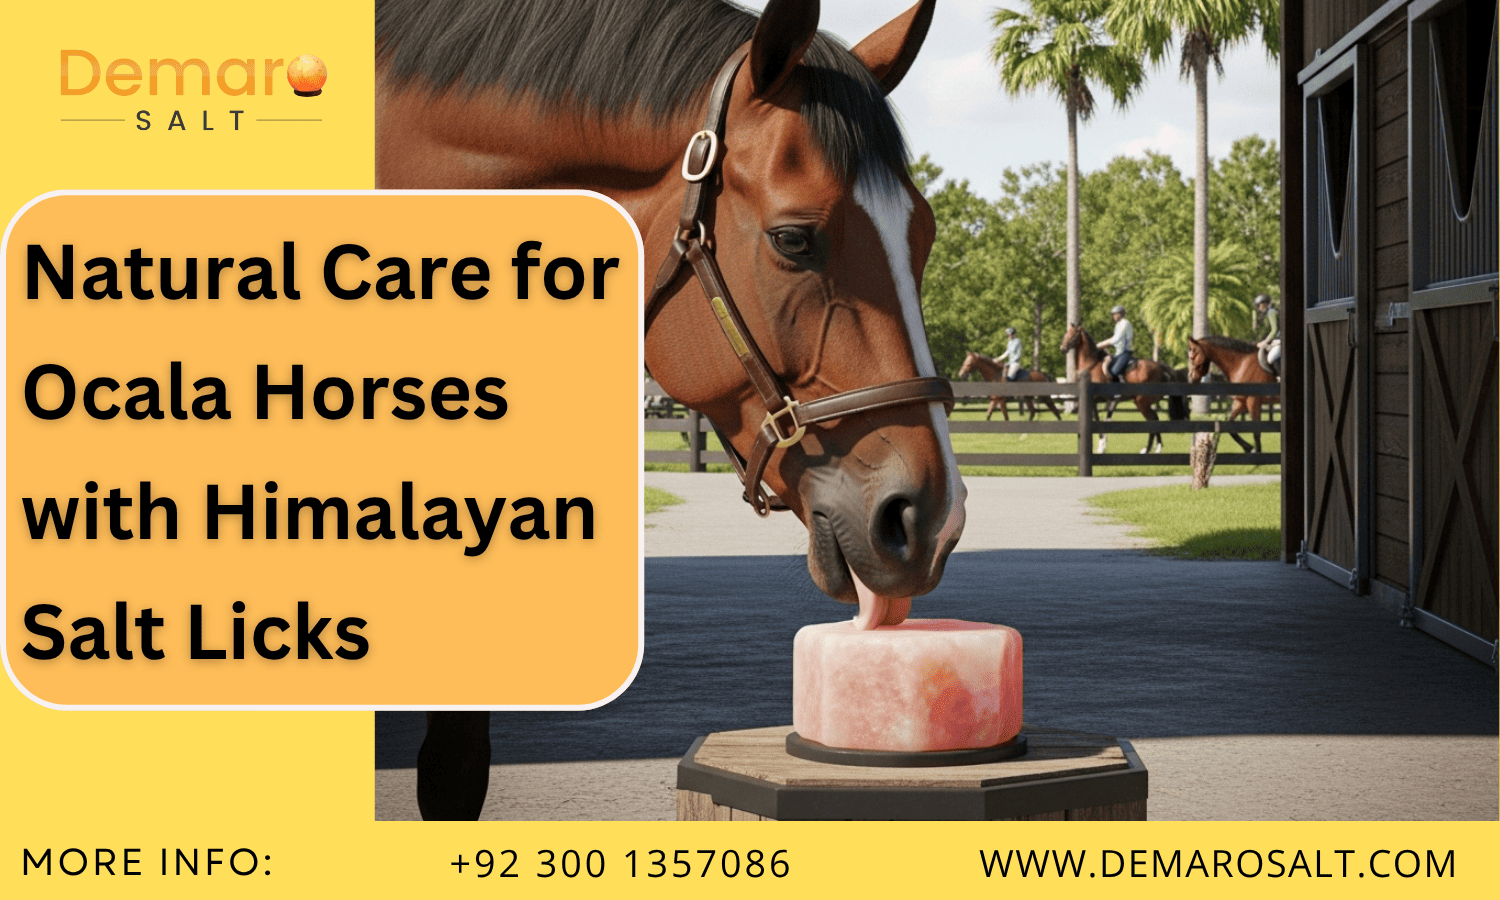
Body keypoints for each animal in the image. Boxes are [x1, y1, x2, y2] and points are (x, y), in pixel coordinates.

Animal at [1059, 323, 1189, 454]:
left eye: (1073, 334)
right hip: (1145, 402)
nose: (1062, 348)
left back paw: (1150, 449)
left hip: (1142, 402)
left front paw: (1101, 446)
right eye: (1066, 333)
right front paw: (1102, 444)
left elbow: (1097, 419)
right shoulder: (1102, 401)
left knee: (1153, 420)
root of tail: (1162, 367)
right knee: (1154, 419)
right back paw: (1155, 448)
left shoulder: (1094, 399)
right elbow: (1101, 418)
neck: (1091, 365)